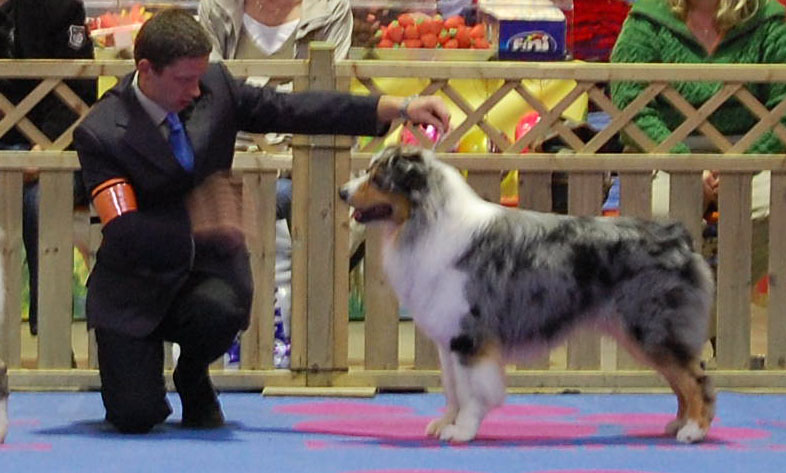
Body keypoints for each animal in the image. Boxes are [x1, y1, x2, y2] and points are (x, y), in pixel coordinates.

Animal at [339, 145, 715, 444]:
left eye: (378, 178)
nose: (342, 191)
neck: (427, 222)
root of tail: (678, 236)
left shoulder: (470, 336)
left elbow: (472, 391)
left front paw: (462, 431)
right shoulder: (450, 338)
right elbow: (452, 388)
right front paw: (446, 423)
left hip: (653, 329)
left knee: (696, 377)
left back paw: (693, 431)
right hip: (645, 335)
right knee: (681, 379)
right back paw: (678, 424)